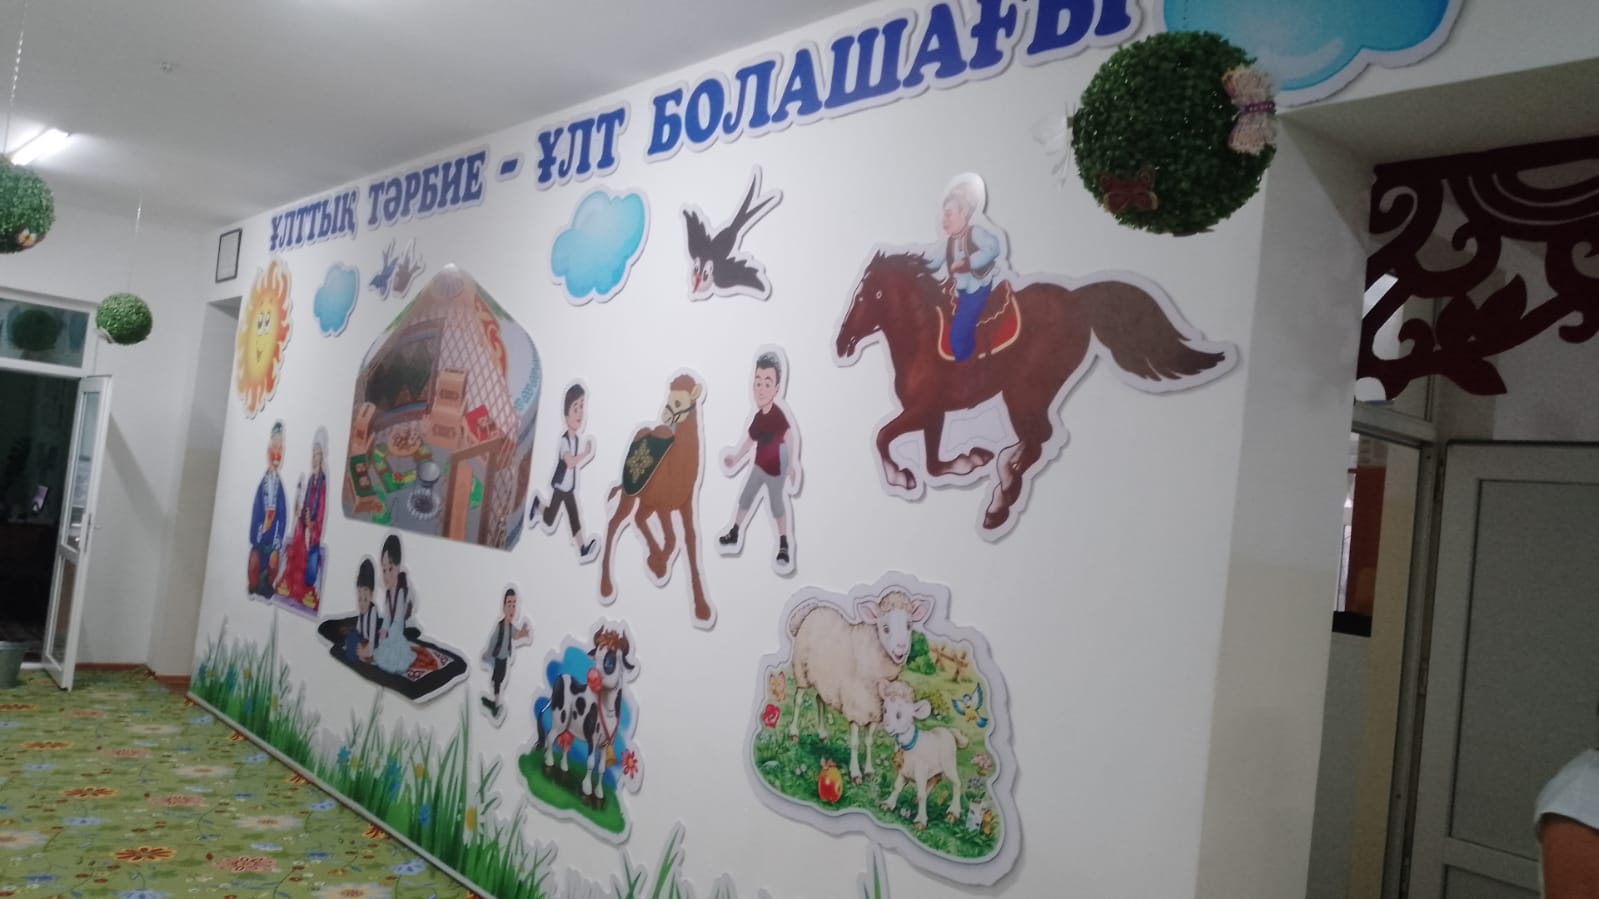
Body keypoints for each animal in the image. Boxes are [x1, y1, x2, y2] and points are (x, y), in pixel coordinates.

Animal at [599, 373, 714, 627]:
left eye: (679, 402)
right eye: (669, 397)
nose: (666, 416)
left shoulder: (686, 505)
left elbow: (689, 541)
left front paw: (702, 609)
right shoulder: (664, 507)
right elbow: (672, 539)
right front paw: (659, 565)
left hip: (647, 502)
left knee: (638, 519)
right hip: (632, 495)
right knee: (615, 523)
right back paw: (606, 587)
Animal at [835, 251, 1237, 536]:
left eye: (873, 295)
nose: (841, 343)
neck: (922, 340)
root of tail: (1077, 297)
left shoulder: (921, 410)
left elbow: (883, 437)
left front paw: (900, 476)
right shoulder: (933, 414)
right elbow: (933, 461)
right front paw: (969, 460)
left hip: (1026, 391)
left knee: (1040, 437)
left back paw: (1000, 502)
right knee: (1035, 440)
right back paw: (1005, 476)